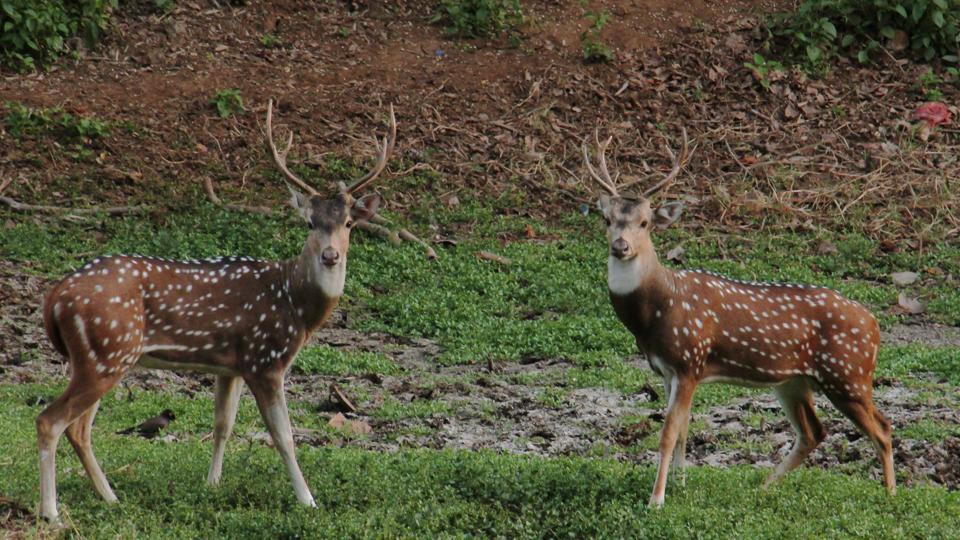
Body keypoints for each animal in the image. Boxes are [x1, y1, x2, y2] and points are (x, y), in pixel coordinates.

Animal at [36, 101, 398, 524]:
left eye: (349, 223)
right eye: (310, 222)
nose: (330, 255)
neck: (295, 304)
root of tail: (55, 296)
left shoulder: (232, 366)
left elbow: (223, 423)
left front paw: (212, 485)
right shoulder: (265, 360)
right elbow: (284, 435)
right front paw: (308, 500)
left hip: (101, 357)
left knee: (79, 429)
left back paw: (111, 498)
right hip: (106, 351)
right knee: (51, 421)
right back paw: (52, 512)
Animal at [580, 130, 896, 506]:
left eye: (645, 222)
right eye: (607, 220)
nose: (621, 246)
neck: (658, 309)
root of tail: (875, 325)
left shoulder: (690, 359)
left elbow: (669, 432)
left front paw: (657, 499)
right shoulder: (668, 370)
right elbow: (684, 428)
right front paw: (681, 485)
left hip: (849, 374)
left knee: (883, 428)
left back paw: (892, 494)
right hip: (795, 380)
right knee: (814, 432)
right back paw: (763, 486)